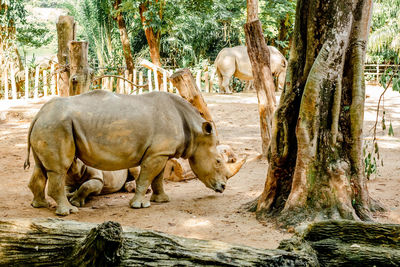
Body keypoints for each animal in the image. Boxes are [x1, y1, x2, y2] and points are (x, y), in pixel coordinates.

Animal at [25, 91, 244, 217]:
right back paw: (68, 212)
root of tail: (38, 114)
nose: (223, 187)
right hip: (56, 125)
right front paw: (139, 205)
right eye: (218, 161)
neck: (195, 132)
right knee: (58, 170)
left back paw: (39, 205)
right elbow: (146, 177)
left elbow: (158, 178)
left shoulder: (160, 152)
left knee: (41, 168)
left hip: (49, 125)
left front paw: (162, 200)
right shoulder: (157, 154)